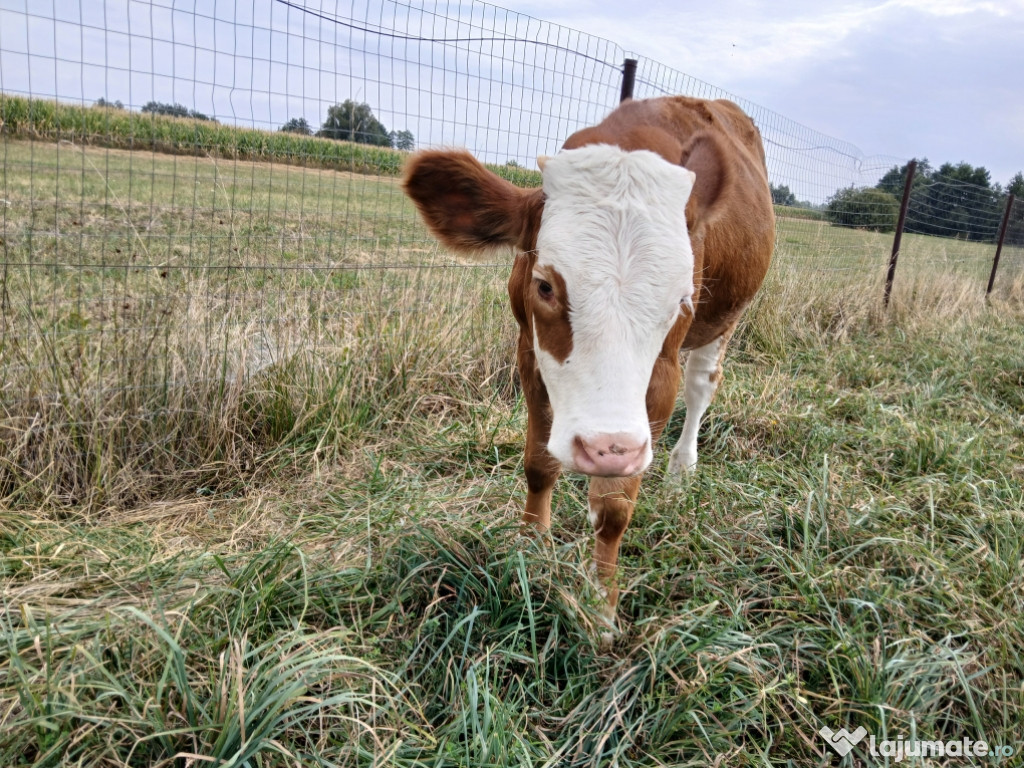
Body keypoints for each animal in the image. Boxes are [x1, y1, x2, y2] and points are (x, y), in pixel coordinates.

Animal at [403, 94, 770, 626]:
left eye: (681, 297)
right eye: (545, 286)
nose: (602, 448)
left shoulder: (660, 379)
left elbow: (614, 508)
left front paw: (602, 607)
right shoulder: (528, 350)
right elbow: (538, 464)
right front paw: (530, 550)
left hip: (726, 321)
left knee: (703, 386)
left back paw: (681, 471)